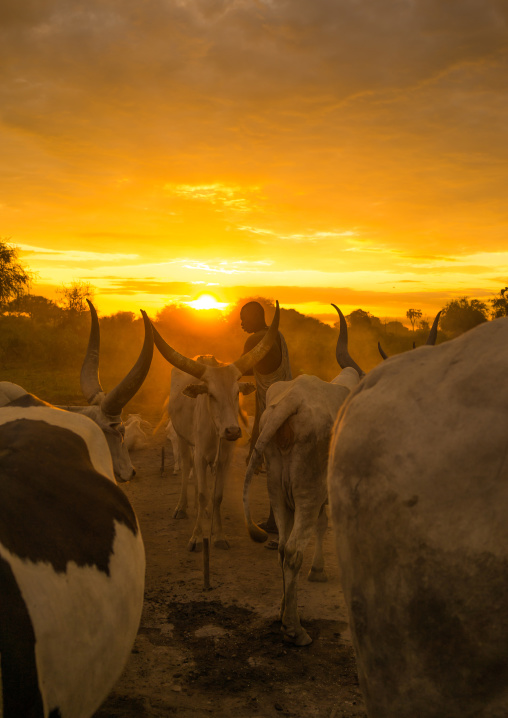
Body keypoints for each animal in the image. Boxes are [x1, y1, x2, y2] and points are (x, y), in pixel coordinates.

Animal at [151, 301, 281, 552]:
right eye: (210, 394)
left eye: (237, 392)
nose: (232, 431)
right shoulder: (200, 453)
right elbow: (202, 493)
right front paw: (196, 537)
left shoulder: (225, 458)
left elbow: (216, 496)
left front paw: (218, 535)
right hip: (183, 439)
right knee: (187, 470)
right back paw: (182, 507)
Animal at [243, 305, 360, 646]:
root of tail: (291, 403)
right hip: (307, 491)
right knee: (294, 550)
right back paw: (295, 629)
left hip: (279, 491)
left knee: (283, 548)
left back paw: (283, 615)